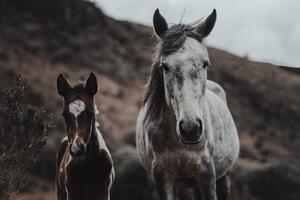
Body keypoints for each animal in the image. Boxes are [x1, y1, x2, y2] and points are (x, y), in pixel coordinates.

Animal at [136, 8, 239, 199]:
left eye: (205, 63)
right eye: (165, 66)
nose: (190, 129)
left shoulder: (207, 174)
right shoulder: (162, 177)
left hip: (223, 176)